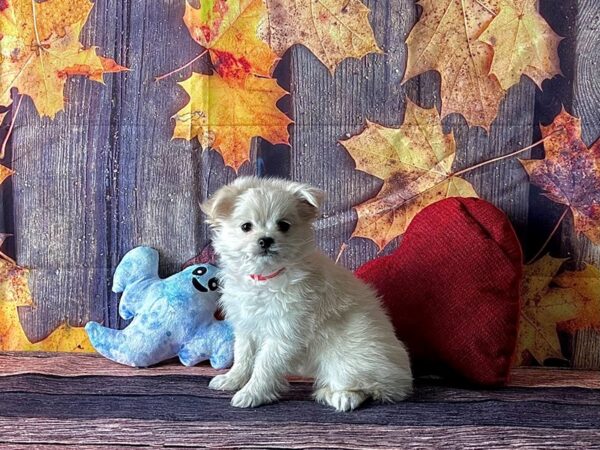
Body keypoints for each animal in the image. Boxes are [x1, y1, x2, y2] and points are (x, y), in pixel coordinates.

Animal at [203, 176, 412, 412]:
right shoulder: (246, 328)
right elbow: (243, 356)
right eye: (245, 227)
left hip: (350, 358)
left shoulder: (285, 332)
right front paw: (232, 380)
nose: (266, 240)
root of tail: (402, 375)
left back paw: (343, 396)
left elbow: (264, 365)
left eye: (283, 225)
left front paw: (251, 394)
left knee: (370, 386)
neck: (265, 277)